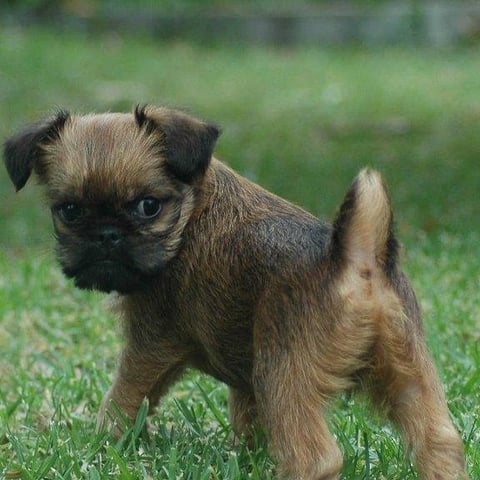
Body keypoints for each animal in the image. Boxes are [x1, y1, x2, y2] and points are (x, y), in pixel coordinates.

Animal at [2, 107, 468, 478]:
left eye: (148, 206)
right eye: (69, 211)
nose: (106, 235)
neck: (192, 209)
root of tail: (356, 259)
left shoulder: (151, 344)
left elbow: (124, 400)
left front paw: (101, 444)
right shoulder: (243, 368)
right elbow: (245, 419)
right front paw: (245, 459)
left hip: (283, 375)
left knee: (314, 458)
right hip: (408, 370)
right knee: (439, 440)